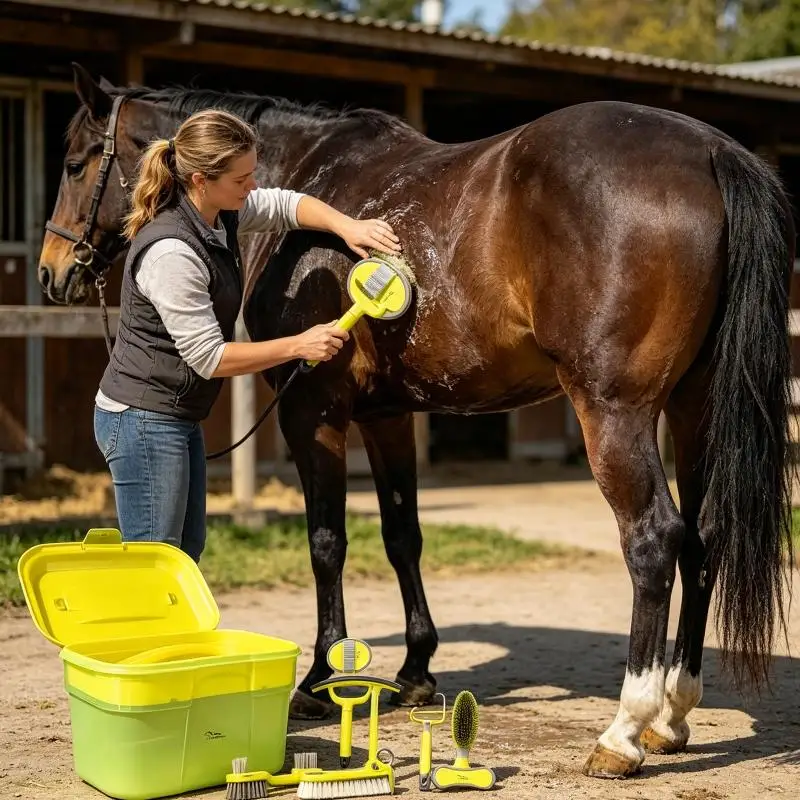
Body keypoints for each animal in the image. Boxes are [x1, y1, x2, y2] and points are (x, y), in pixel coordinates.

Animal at [39, 62, 795, 779]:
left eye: (74, 161)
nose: (51, 272)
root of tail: (710, 151)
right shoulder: (389, 416)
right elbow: (403, 537)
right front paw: (415, 673)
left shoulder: (314, 412)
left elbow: (327, 541)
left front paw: (319, 678)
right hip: (694, 408)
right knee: (704, 540)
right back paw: (673, 715)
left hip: (614, 412)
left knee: (654, 540)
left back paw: (624, 732)